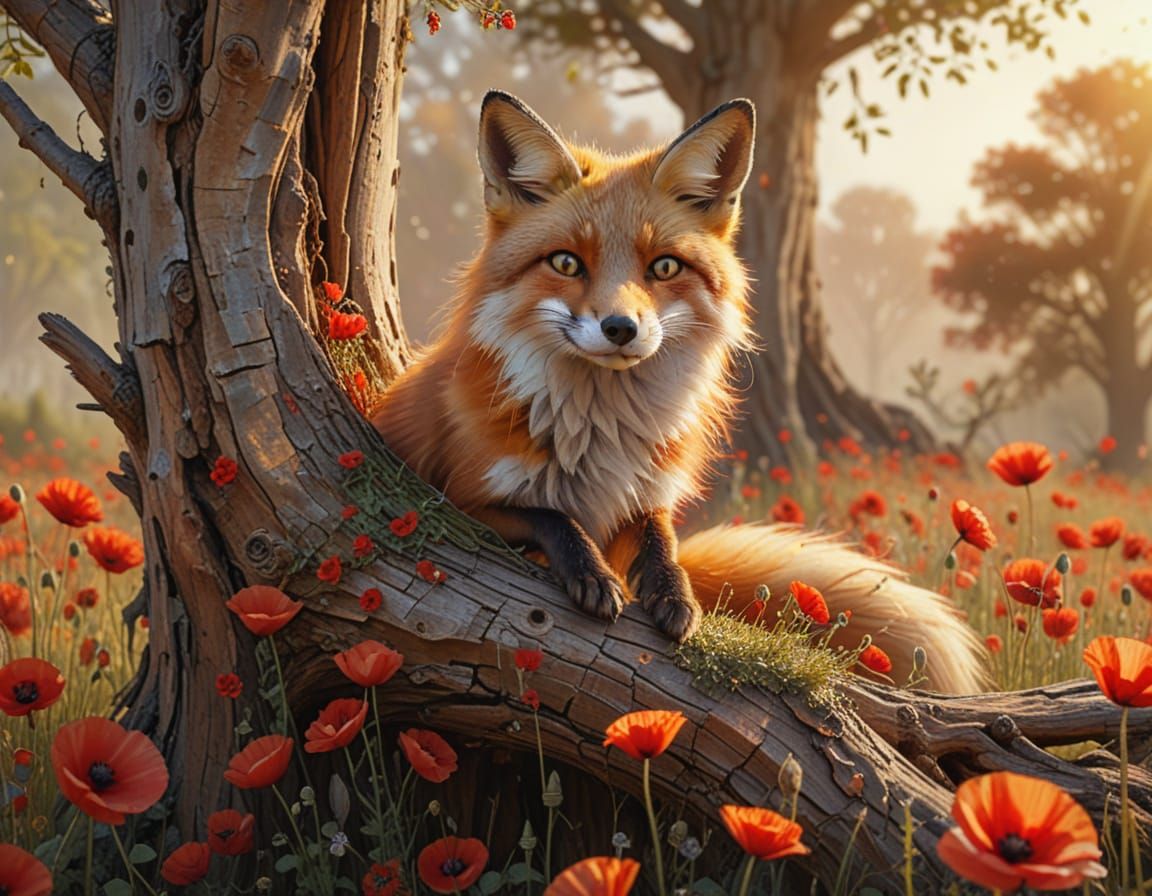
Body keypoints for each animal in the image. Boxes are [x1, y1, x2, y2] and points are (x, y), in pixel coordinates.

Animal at [373, 91, 987, 694]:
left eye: (664, 267)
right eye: (566, 262)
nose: (621, 328)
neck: (600, 436)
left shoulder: (647, 495)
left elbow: (664, 541)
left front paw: (673, 590)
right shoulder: (453, 498)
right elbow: (550, 516)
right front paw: (589, 570)